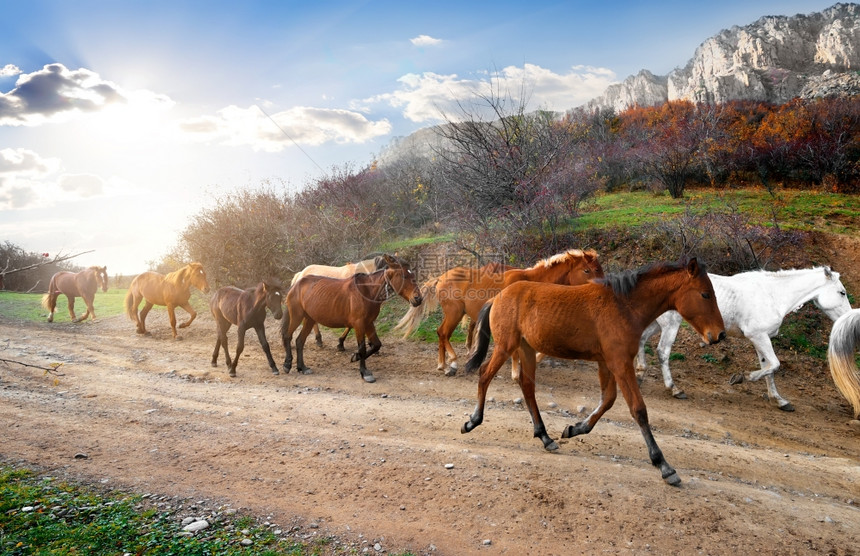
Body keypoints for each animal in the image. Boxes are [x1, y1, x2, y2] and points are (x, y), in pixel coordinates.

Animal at [282, 260, 424, 382]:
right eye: (404, 276)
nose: (418, 298)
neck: (367, 291)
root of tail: (296, 283)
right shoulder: (359, 324)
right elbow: (362, 347)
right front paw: (364, 372)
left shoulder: (368, 323)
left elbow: (376, 344)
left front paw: (355, 357)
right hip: (297, 316)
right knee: (288, 336)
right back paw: (287, 364)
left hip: (309, 319)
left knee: (300, 341)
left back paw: (302, 367)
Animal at [396, 250, 604, 376]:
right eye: (587, 270)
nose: (603, 286)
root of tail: (441, 278)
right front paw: (516, 370)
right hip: (454, 314)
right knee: (443, 333)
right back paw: (452, 364)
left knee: (441, 333)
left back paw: (442, 365)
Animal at [464, 258, 724, 484]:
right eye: (705, 294)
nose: (719, 335)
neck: (624, 307)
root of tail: (497, 297)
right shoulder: (620, 363)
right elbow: (638, 409)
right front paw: (663, 465)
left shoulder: (607, 363)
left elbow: (608, 400)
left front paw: (574, 429)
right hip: (506, 346)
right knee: (485, 375)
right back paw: (473, 421)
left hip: (526, 349)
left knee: (526, 386)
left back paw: (545, 437)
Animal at [636, 268, 848, 410]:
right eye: (842, 292)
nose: (847, 317)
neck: (772, 295)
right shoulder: (758, 335)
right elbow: (774, 365)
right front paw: (743, 377)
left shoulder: (761, 338)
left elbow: (768, 368)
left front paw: (779, 400)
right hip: (670, 324)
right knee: (663, 352)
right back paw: (674, 389)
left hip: (656, 323)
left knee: (641, 340)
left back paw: (639, 374)